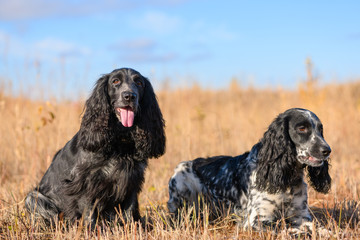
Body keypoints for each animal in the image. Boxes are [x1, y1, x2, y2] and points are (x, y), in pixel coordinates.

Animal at [25, 67, 166, 225]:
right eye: (115, 81)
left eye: (139, 82)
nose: (129, 96)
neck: (120, 141)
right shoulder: (86, 181)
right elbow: (88, 211)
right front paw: (90, 228)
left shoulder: (132, 180)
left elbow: (129, 211)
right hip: (33, 197)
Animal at [167, 109, 330, 234]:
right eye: (302, 128)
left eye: (321, 129)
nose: (327, 150)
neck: (287, 178)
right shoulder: (256, 220)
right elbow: (283, 229)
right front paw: (296, 232)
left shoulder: (301, 215)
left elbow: (316, 227)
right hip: (180, 179)